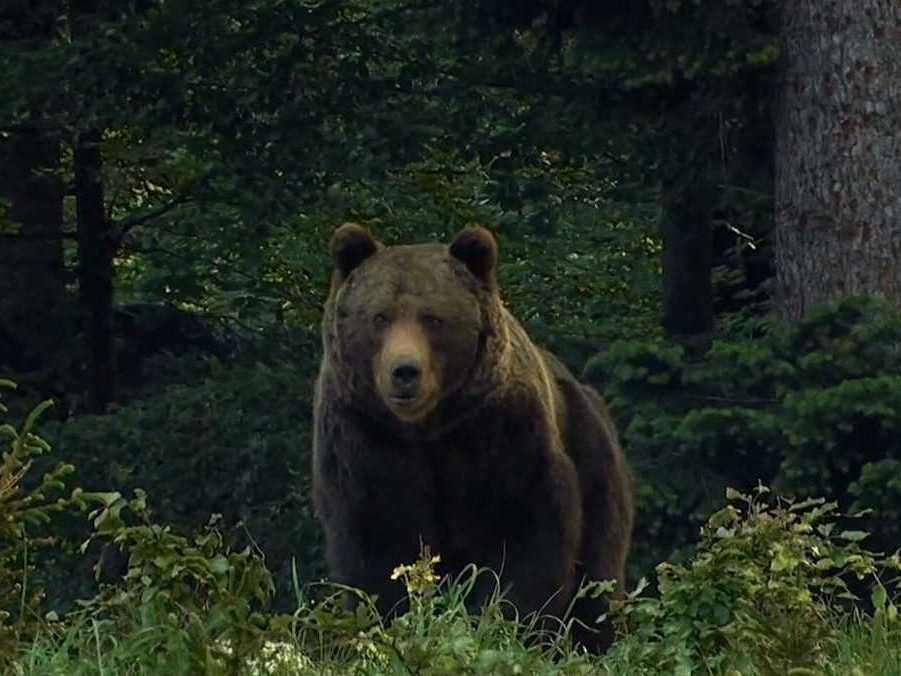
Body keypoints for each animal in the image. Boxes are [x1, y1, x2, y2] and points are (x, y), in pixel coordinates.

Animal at [312, 223, 636, 648]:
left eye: (433, 318)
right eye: (379, 316)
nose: (405, 371)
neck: (429, 429)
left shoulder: (502, 435)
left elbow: (523, 538)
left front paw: (504, 624)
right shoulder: (366, 440)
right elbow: (377, 544)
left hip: (594, 461)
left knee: (599, 581)